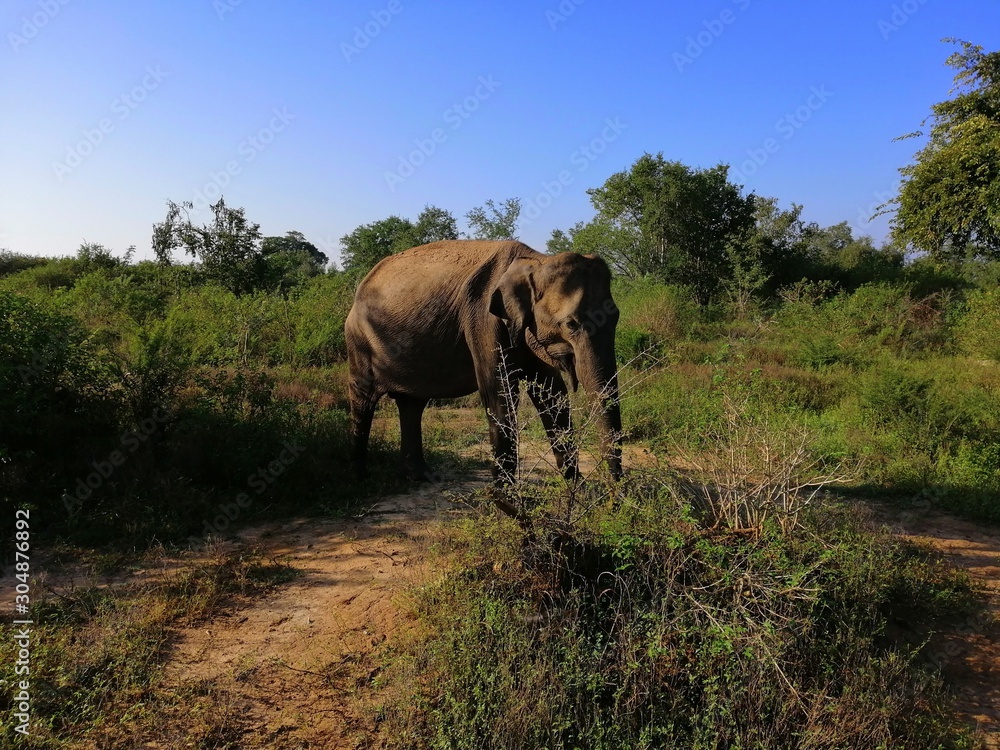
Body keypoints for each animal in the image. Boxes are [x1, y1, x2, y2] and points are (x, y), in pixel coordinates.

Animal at [344, 240, 622, 484]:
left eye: (617, 317)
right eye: (570, 324)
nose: (615, 490)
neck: (536, 261)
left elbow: (552, 394)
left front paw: (578, 489)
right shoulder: (482, 319)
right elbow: (499, 393)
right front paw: (509, 500)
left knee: (412, 403)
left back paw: (418, 477)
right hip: (360, 341)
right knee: (363, 398)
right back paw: (359, 478)